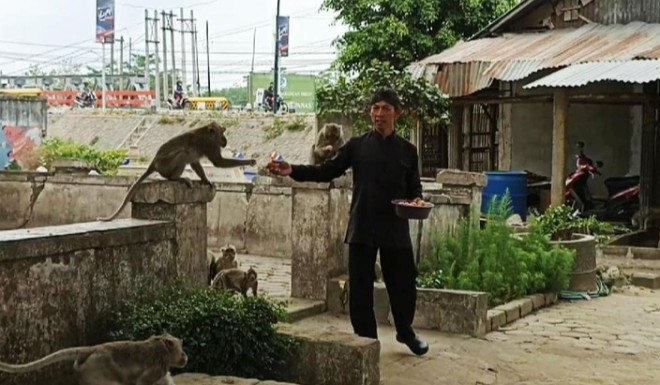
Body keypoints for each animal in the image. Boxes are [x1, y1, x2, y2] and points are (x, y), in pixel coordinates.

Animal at [96, 120, 256, 222]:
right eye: (222, 133)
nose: (225, 140)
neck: (207, 131)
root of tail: (154, 161)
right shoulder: (211, 145)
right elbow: (218, 162)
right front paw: (249, 161)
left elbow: (195, 163)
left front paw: (205, 179)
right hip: (165, 164)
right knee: (183, 153)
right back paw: (176, 178)